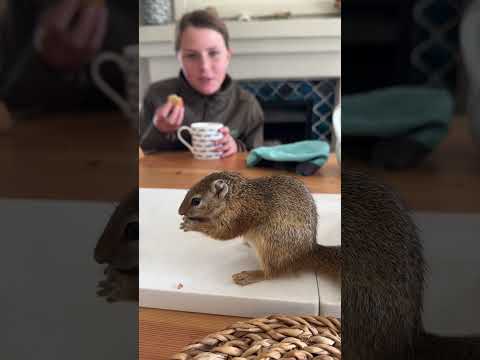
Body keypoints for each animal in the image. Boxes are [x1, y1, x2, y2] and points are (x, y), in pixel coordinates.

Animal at [177, 170, 342, 286]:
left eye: (196, 201)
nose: (179, 211)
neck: (237, 197)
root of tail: (306, 253)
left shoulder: (240, 214)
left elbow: (223, 232)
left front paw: (192, 224)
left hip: (271, 246)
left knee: (271, 273)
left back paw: (250, 276)